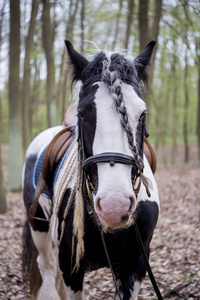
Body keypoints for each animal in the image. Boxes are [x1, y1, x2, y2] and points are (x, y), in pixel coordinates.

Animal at [22, 39, 159, 300]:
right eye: (82, 114)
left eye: (142, 114)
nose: (115, 206)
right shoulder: (70, 264)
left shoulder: (135, 265)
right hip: (39, 227)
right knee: (46, 268)